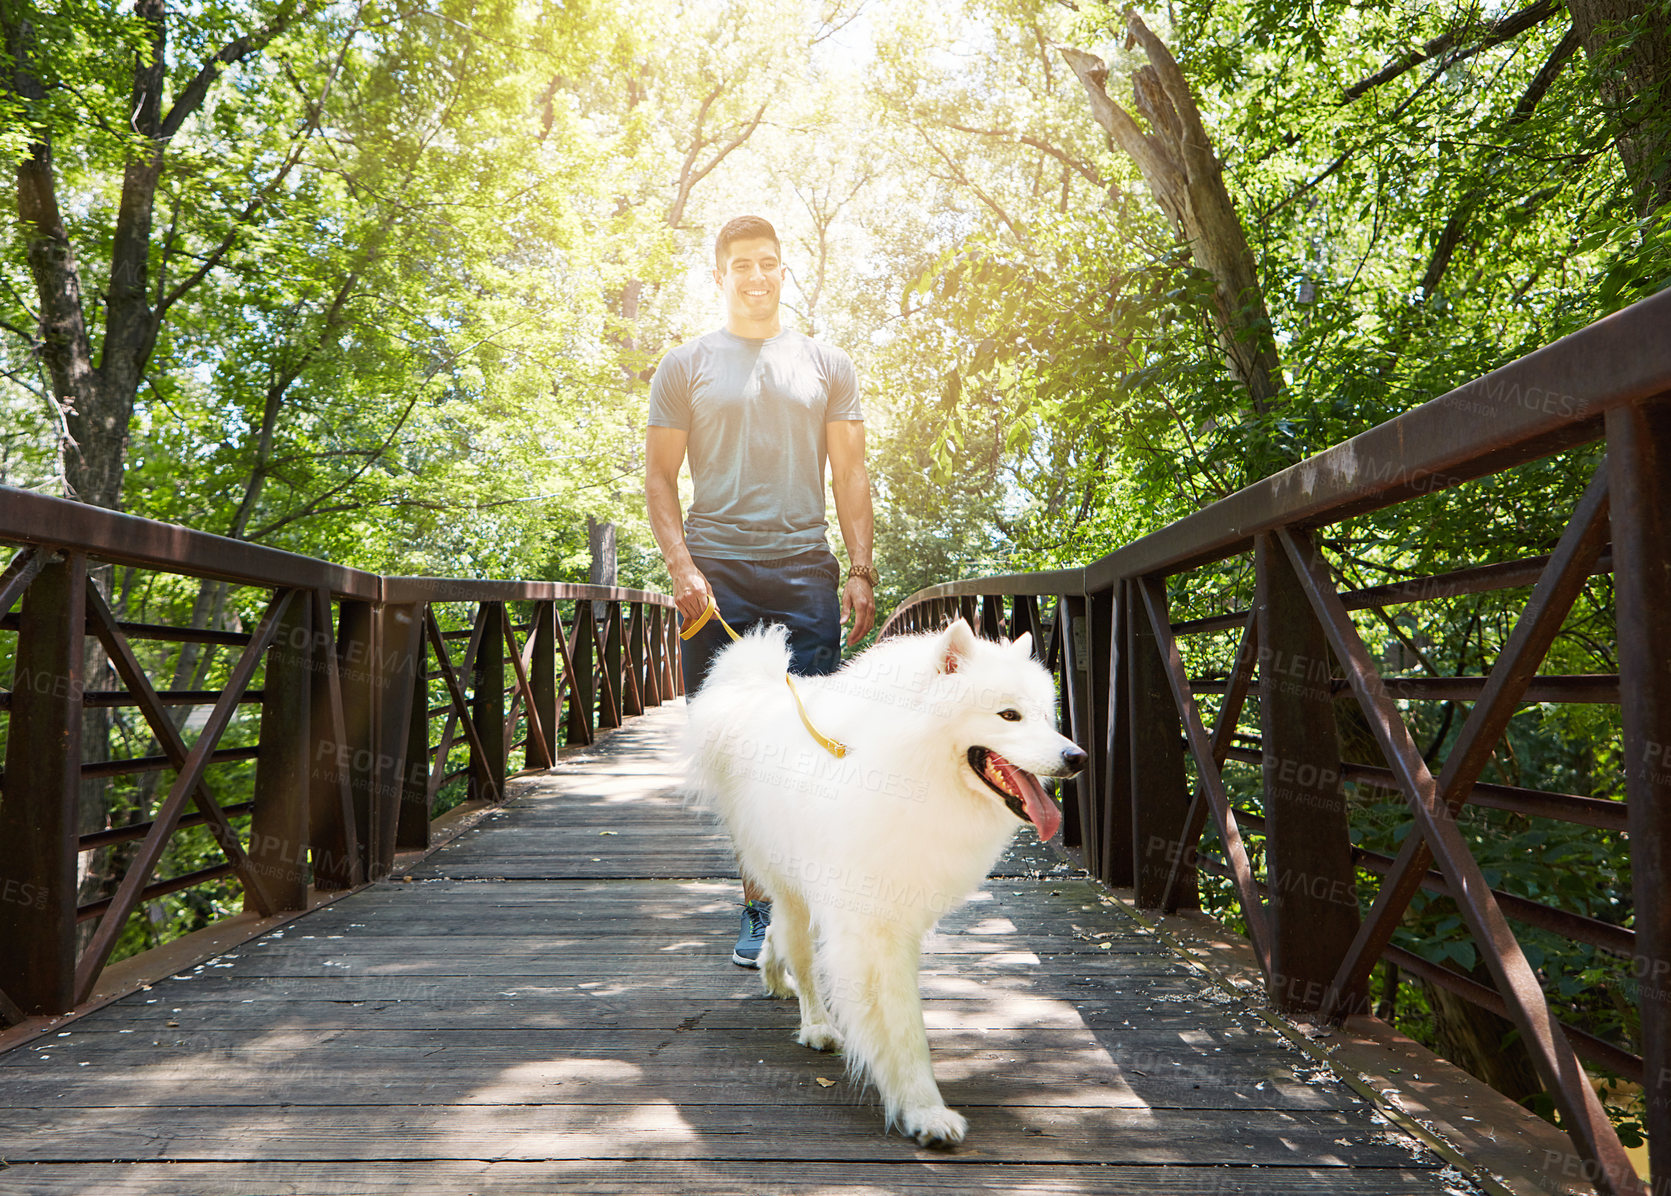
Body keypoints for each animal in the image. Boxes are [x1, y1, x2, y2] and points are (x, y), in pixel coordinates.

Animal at [685, 621, 1089, 1142]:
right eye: (1008, 715)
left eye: (1043, 715)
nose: (1077, 757)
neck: (910, 768)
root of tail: (756, 690)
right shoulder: (875, 928)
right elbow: (902, 1027)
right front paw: (924, 1110)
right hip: (791, 884)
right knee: (802, 957)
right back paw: (816, 1025)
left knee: (781, 936)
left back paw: (774, 973)